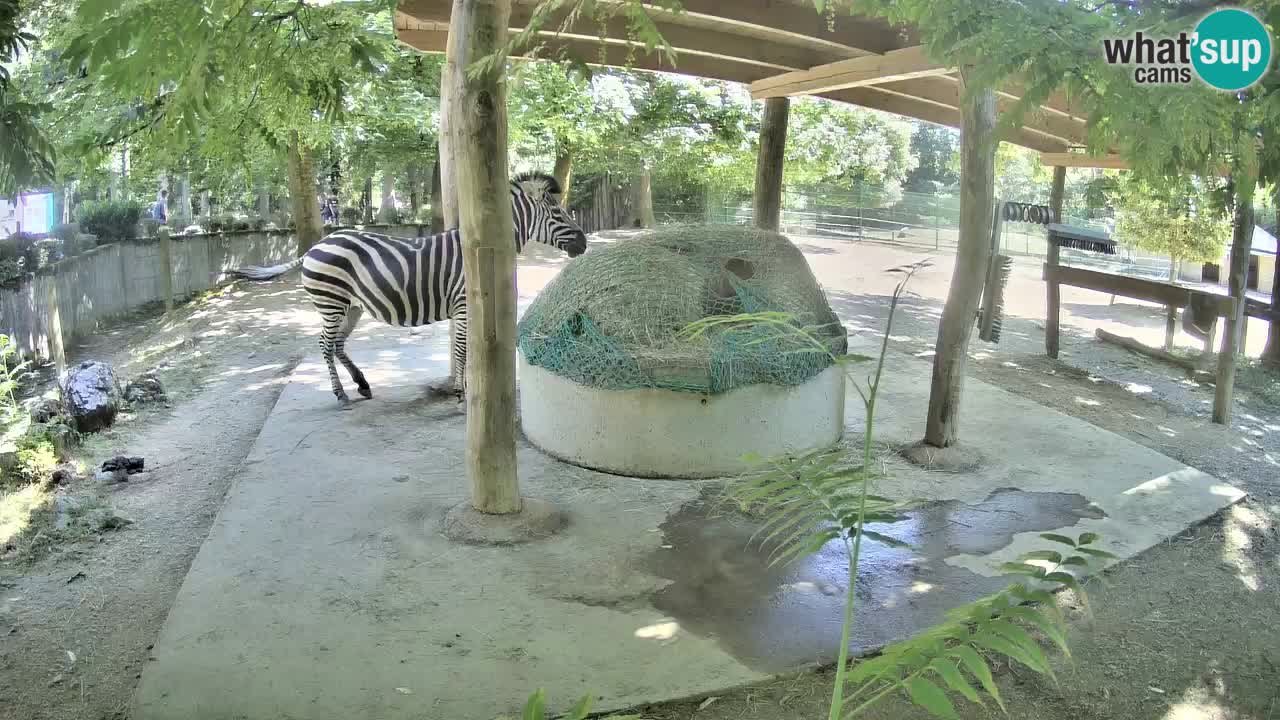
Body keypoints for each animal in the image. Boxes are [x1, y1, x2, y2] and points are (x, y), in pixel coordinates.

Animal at [228, 172, 587, 408]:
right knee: (325, 345)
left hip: (351, 306)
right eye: (557, 212)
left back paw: (362, 384)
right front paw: (460, 393)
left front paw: (465, 387)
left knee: (339, 344)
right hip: (331, 301)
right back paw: (341, 393)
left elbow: (467, 350)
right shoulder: (463, 304)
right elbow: (461, 350)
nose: (584, 244)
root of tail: (316, 245)